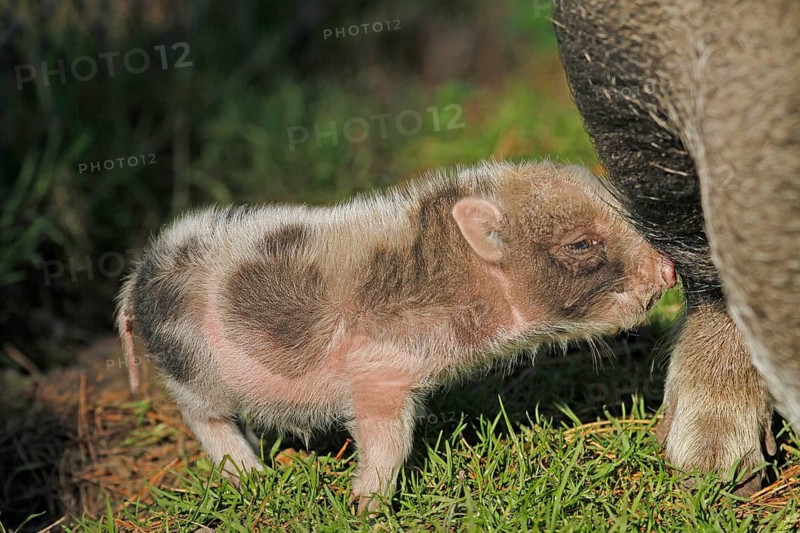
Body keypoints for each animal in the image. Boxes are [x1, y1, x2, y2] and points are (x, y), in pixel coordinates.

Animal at [115, 160, 675, 513]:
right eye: (581, 244)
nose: (670, 271)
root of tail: (139, 275)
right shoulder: (377, 372)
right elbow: (389, 438)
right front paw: (367, 506)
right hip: (191, 369)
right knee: (204, 418)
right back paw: (255, 477)